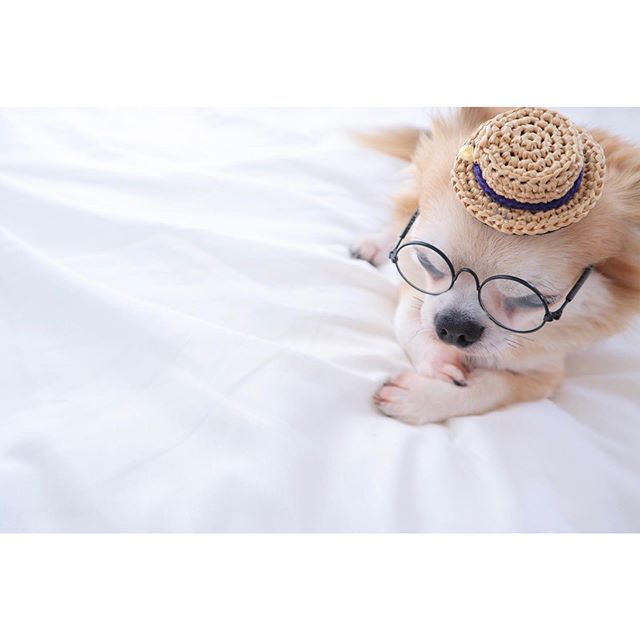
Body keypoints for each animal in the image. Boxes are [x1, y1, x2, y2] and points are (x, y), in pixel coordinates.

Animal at [352, 107, 636, 424]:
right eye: (428, 263)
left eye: (532, 300)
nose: (454, 328)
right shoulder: (415, 280)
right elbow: (409, 320)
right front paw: (437, 359)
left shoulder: (546, 375)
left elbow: (492, 387)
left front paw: (416, 399)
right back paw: (375, 243)